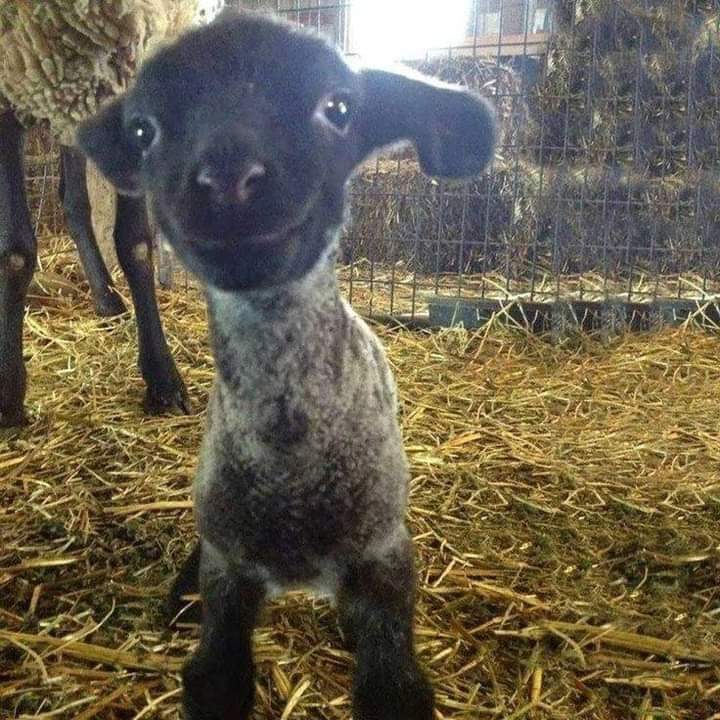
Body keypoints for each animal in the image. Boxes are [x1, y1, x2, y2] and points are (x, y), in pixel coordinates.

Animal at [0, 1, 199, 426]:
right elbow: (16, 251)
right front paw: (8, 393)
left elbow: (136, 244)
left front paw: (163, 380)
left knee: (73, 201)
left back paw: (106, 299)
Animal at [78, 11, 496, 720]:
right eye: (142, 129)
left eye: (339, 107)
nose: (227, 181)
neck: (289, 464)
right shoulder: (229, 572)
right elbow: (215, 674)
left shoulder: (383, 563)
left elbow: (393, 686)